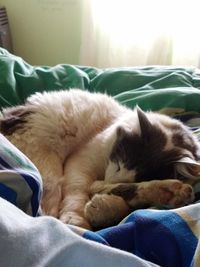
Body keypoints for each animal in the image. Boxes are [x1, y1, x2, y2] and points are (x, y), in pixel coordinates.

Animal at [0, 89, 200, 230]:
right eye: (118, 165)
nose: (106, 180)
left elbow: (126, 203)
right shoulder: (80, 162)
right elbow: (78, 192)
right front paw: (78, 218)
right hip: (50, 172)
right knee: (47, 212)